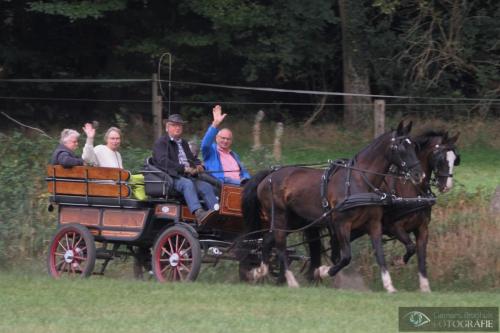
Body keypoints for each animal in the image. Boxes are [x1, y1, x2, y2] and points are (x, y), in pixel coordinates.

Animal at [240, 120, 424, 290]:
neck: (358, 181)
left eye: (414, 146)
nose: (419, 175)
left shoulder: (374, 224)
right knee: (279, 246)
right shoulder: (341, 224)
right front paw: (322, 271)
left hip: (293, 221)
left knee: (267, 242)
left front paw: (389, 285)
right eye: (401, 147)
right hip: (279, 216)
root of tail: (269, 175)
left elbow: (380, 255)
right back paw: (290, 280)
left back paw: (259, 272)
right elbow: (345, 257)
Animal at [308, 130, 460, 290]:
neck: (412, 190)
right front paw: (398, 262)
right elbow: (411, 247)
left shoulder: (422, 228)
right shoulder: (394, 227)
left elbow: (422, 258)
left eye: (455, 159)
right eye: (440, 158)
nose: (446, 186)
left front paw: (425, 287)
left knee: (335, 247)